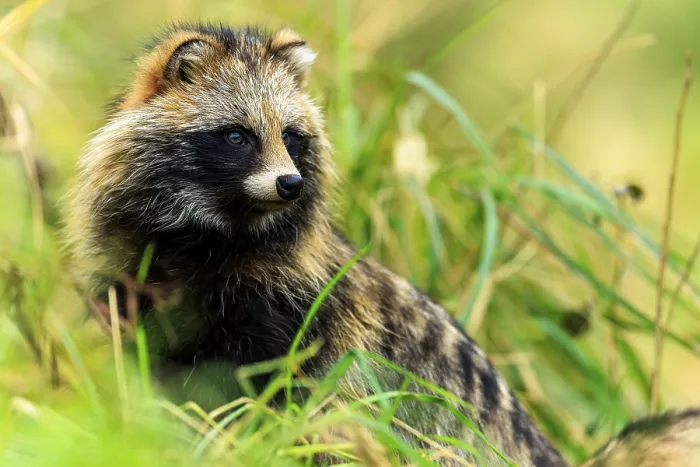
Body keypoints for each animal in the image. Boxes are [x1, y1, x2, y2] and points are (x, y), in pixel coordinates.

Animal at [64, 23, 700, 466]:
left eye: (291, 137)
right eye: (237, 135)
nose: (290, 184)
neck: (212, 233)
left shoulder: (288, 309)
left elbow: (269, 394)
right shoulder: (135, 295)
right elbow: (162, 383)